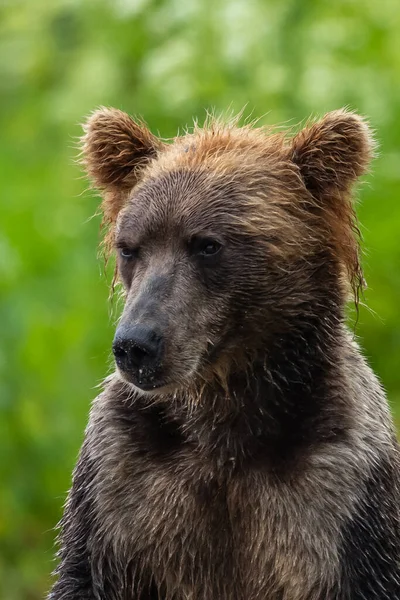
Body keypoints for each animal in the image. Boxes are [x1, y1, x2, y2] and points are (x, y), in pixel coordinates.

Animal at [49, 109, 400, 600]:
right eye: (130, 247)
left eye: (207, 244)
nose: (136, 344)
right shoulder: (118, 482)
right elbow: (86, 572)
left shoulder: (340, 492)